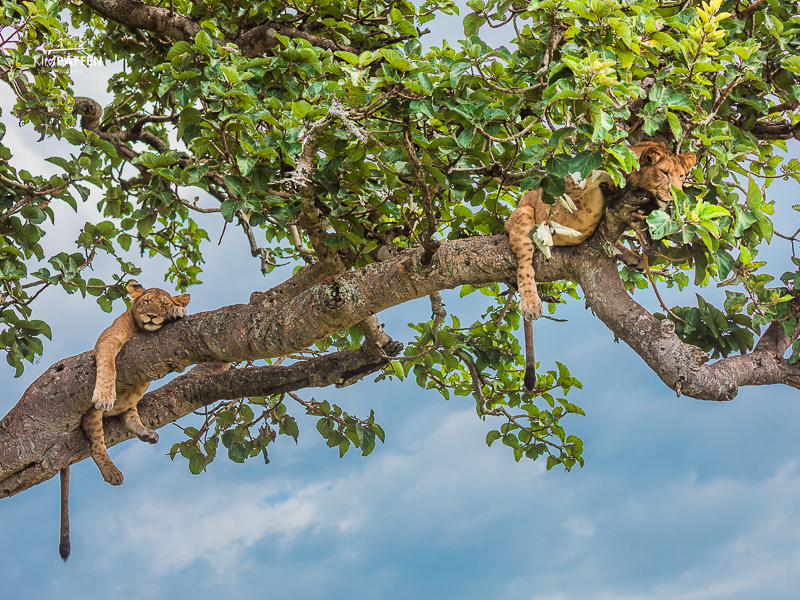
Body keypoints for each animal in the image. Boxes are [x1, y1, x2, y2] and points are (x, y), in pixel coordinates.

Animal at [59, 282, 190, 561]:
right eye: (145, 301)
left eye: (163, 304)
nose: (151, 316)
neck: (140, 330)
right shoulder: (107, 341)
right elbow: (108, 364)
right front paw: (105, 395)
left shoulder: (176, 360)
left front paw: (177, 313)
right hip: (91, 415)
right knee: (96, 445)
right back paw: (112, 472)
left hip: (130, 407)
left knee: (130, 417)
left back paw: (147, 433)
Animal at [505, 141, 696, 391]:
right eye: (664, 173)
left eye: (682, 176)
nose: (676, 196)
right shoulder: (567, 185)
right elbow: (595, 172)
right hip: (523, 215)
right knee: (524, 266)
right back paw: (530, 303)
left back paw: (633, 258)